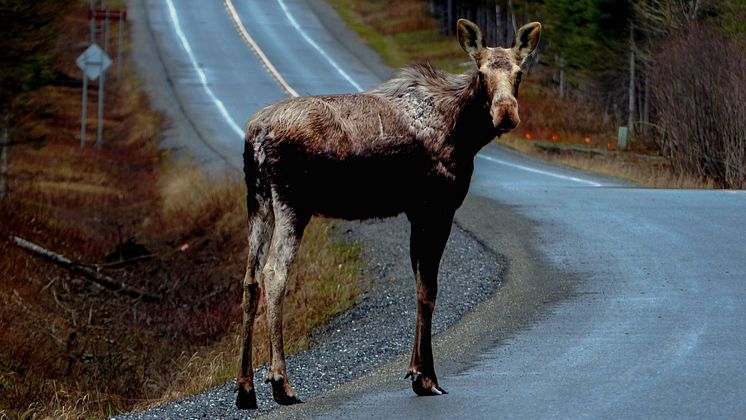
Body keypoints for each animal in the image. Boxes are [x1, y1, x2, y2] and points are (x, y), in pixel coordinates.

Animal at [237, 18, 540, 408]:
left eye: (519, 72)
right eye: (482, 72)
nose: (506, 114)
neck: (464, 134)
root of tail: (256, 134)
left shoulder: (415, 212)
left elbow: (418, 284)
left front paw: (416, 371)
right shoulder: (436, 206)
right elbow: (428, 289)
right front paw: (426, 377)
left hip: (257, 199)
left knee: (250, 279)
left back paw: (245, 387)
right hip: (291, 201)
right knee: (274, 273)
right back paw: (281, 382)